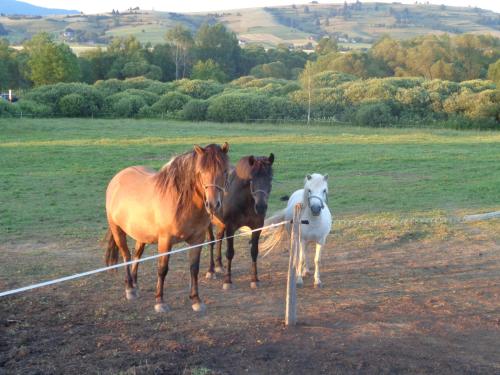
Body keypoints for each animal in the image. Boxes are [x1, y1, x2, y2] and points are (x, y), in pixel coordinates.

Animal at [106, 144, 231, 314]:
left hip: (141, 234)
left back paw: (135, 284)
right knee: (126, 255)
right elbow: (162, 269)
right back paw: (130, 288)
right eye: (201, 172)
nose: (212, 205)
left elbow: (194, 268)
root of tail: (117, 178)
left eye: (224, 171)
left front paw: (196, 300)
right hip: (117, 230)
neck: (181, 201)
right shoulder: (165, 240)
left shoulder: (197, 240)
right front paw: (160, 301)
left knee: (137, 255)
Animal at [205, 154, 276, 290]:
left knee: (219, 237)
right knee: (211, 241)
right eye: (251, 179)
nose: (261, 207)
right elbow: (230, 253)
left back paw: (219, 265)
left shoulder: (257, 226)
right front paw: (228, 281)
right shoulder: (230, 227)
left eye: (270, 179)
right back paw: (211, 270)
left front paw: (254, 279)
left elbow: (254, 251)